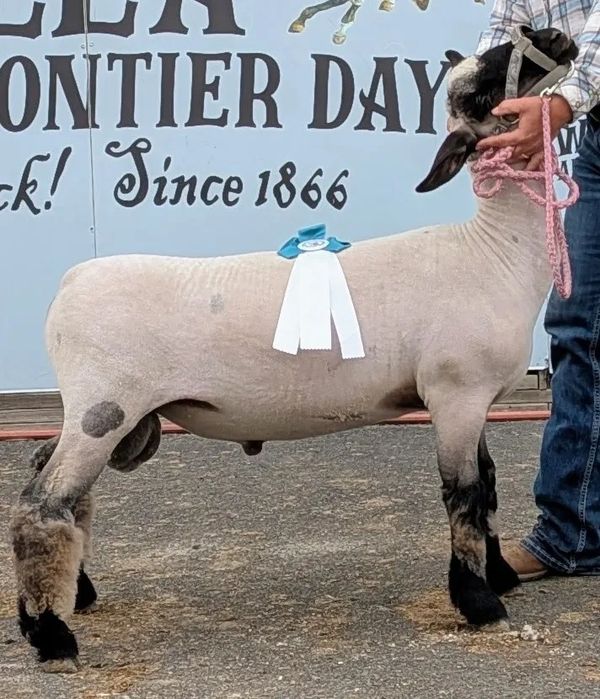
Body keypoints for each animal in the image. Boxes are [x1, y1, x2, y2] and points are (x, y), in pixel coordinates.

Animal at [10, 27, 578, 673]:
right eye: (480, 90)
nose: (552, 34)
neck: (494, 250)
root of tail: (71, 280)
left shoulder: (475, 401)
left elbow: (488, 485)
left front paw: (499, 574)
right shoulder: (455, 394)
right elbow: (465, 495)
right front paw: (480, 602)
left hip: (108, 417)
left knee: (60, 490)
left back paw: (67, 599)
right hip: (103, 408)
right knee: (41, 505)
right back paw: (52, 636)